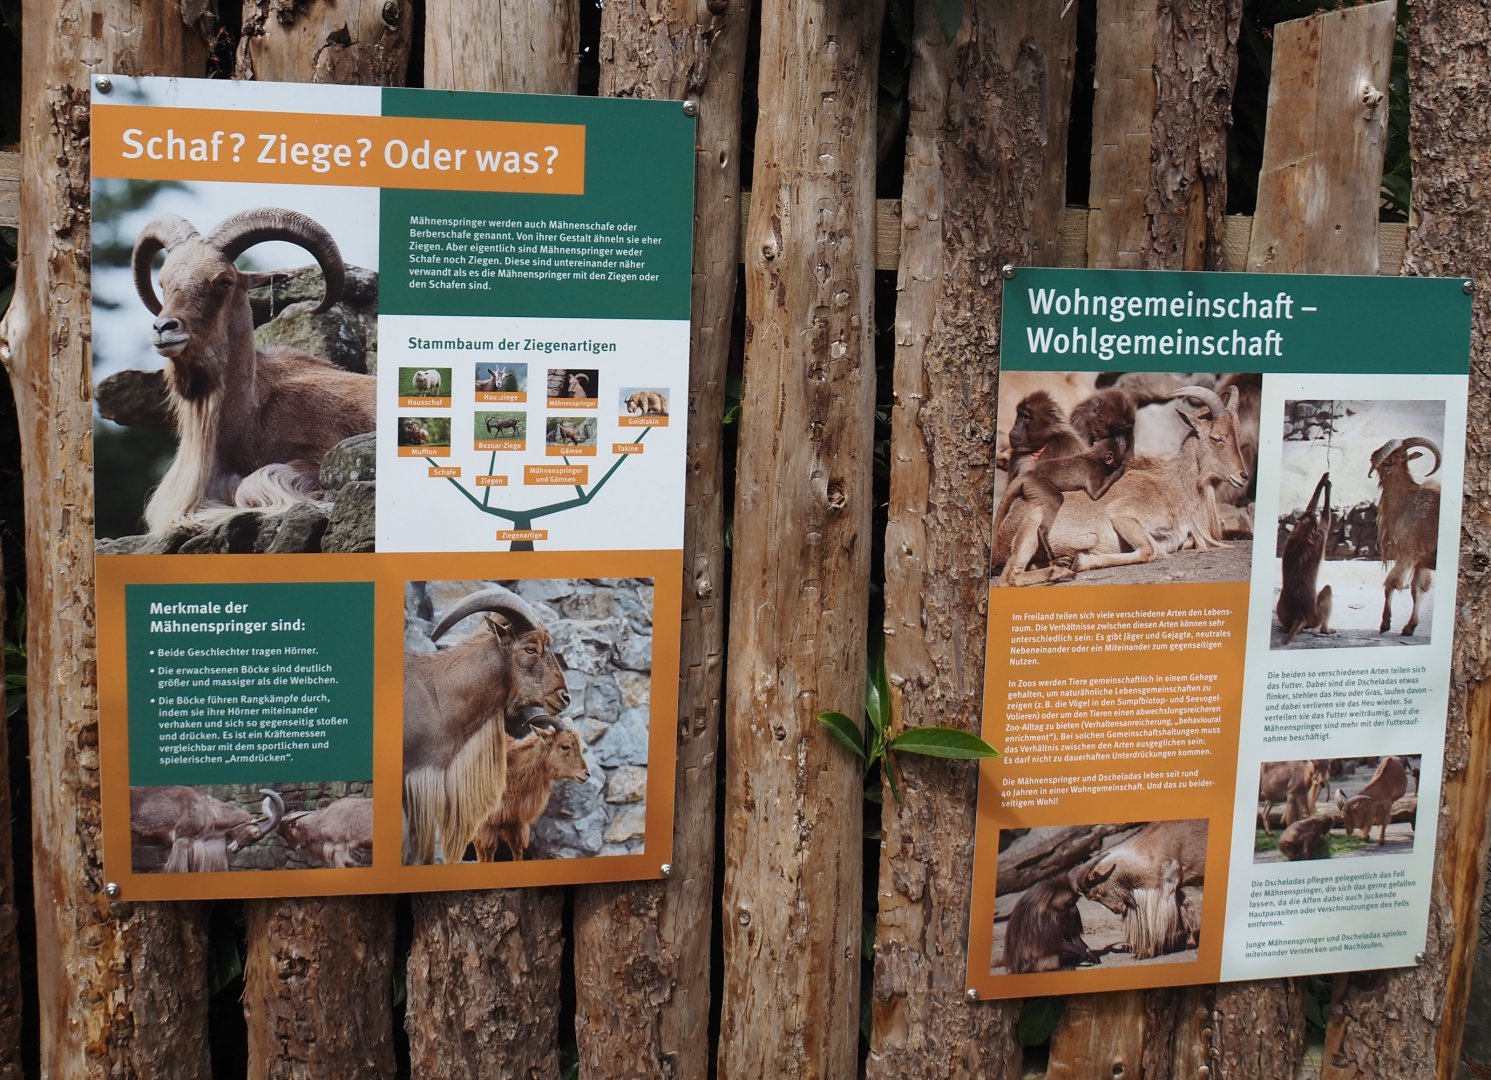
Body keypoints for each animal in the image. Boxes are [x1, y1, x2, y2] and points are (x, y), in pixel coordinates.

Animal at [131, 209, 377, 534]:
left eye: (224, 281)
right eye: (163, 282)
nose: (163, 328)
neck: (248, 413)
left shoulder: (321, 456)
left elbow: (252, 484)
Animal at [472, 724, 591, 861]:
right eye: (565, 746)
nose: (586, 774)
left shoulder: (514, 821)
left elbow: (517, 850)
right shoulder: (486, 823)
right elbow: (489, 850)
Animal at [994, 385, 1250, 586]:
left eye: (1238, 434)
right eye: (1217, 438)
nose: (1243, 476)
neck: (1174, 489)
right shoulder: (1122, 514)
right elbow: (1148, 551)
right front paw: (1081, 560)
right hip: (1032, 524)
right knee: (1010, 576)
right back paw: (1060, 571)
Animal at [1369, 437, 1442, 636]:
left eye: (1391, 456)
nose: (1372, 455)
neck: (1407, 503)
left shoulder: (1407, 556)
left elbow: (1390, 584)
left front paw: (1385, 624)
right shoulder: (1421, 562)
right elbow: (1417, 591)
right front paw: (1410, 627)